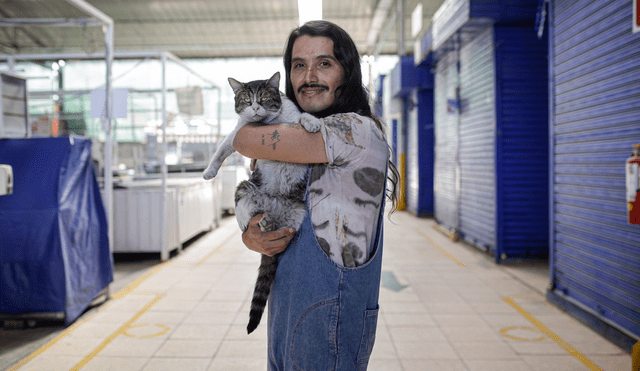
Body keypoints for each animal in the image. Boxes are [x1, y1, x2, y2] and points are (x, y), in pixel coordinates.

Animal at [202, 72, 320, 334]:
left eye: (264, 98)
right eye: (246, 100)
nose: (255, 107)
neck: (266, 123)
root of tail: (273, 210)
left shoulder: (293, 118)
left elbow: (303, 117)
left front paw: (313, 123)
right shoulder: (237, 133)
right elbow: (220, 150)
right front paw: (209, 171)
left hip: (297, 210)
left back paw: (270, 225)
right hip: (244, 189)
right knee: (247, 220)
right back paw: (262, 224)